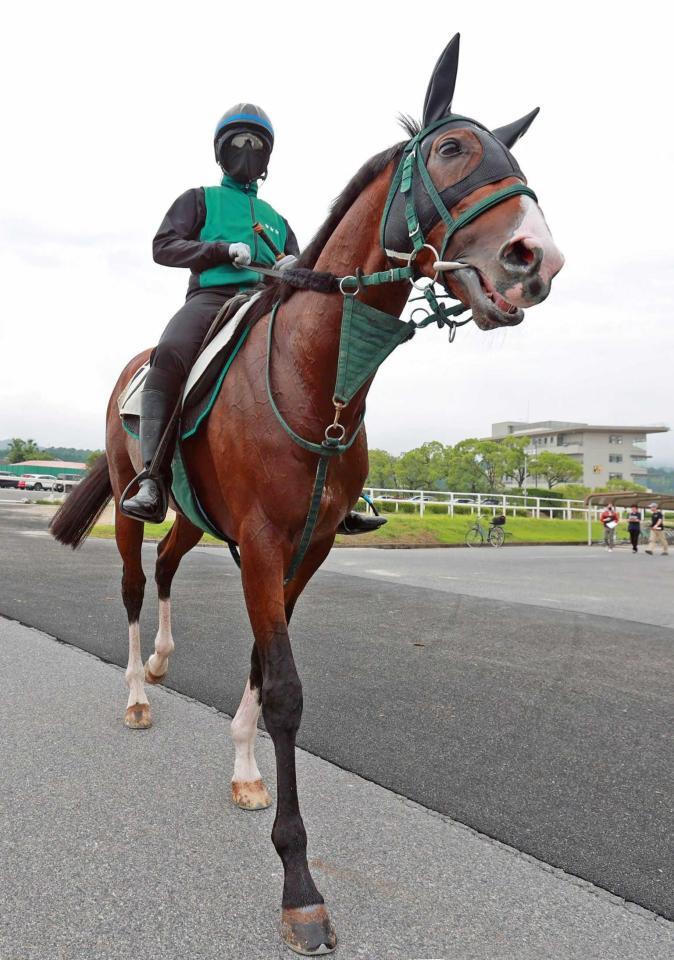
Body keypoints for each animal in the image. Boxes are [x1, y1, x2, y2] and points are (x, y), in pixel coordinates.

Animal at [51, 33, 560, 956]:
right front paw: (299, 886)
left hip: (196, 520)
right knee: (136, 585)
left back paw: (167, 661)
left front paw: (246, 771)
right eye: (452, 149)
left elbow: (265, 662)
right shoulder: (259, 542)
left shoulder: (305, 547)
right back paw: (140, 691)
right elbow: (285, 688)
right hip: (136, 507)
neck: (315, 374)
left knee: (171, 570)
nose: (535, 258)